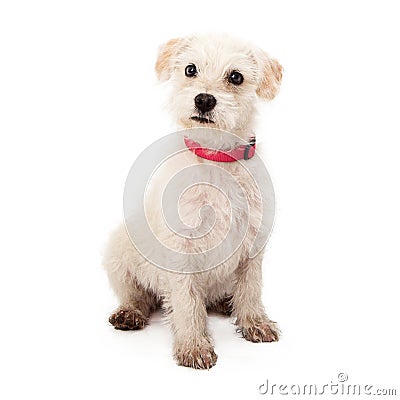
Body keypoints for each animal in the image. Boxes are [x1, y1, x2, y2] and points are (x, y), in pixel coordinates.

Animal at [104, 34, 284, 368]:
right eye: (190, 69)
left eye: (236, 77)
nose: (204, 100)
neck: (216, 158)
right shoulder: (181, 251)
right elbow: (187, 302)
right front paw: (194, 345)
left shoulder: (253, 245)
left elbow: (251, 289)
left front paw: (255, 322)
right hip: (118, 250)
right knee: (137, 295)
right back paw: (129, 313)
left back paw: (228, 303)